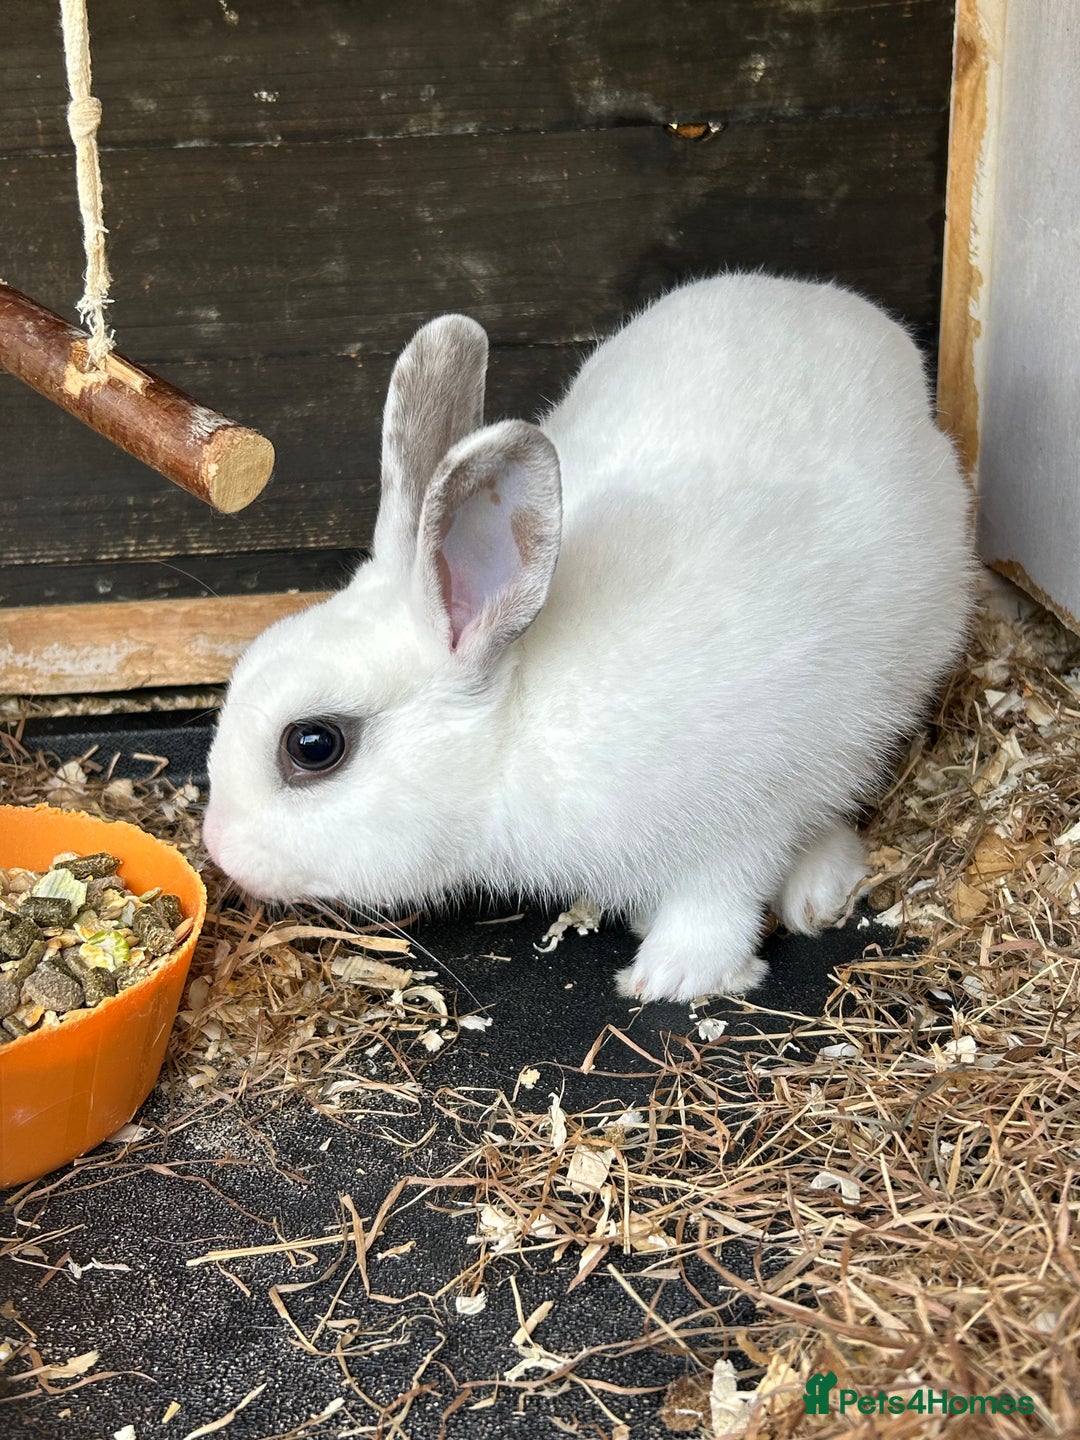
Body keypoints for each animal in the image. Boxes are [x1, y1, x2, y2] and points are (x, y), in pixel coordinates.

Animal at [203, 273, 972, 1003]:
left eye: (313, 745)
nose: (219, 846)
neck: (515, 724)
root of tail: (878, 335)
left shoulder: (742, 815)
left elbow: (718, 898)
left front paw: (673, 975)